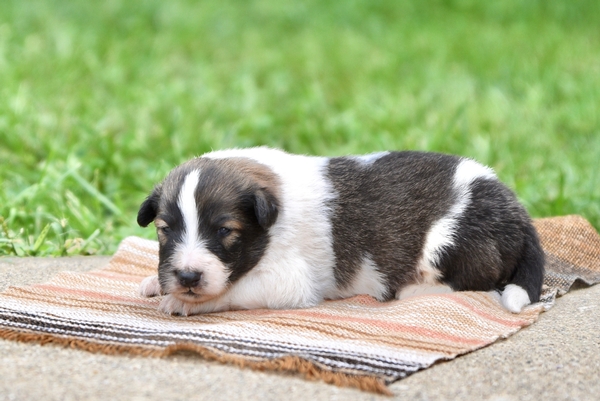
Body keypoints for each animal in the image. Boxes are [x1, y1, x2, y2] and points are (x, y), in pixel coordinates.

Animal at [135, 147, 544, 316]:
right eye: (164, 230)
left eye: (224, 230)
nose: (187, 276)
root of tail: (521, 214)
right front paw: (158, 283)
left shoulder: (289, 280)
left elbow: (236, 289)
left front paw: (184, 301)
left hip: (450, 241)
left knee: (477, 280)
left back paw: (412, 290)